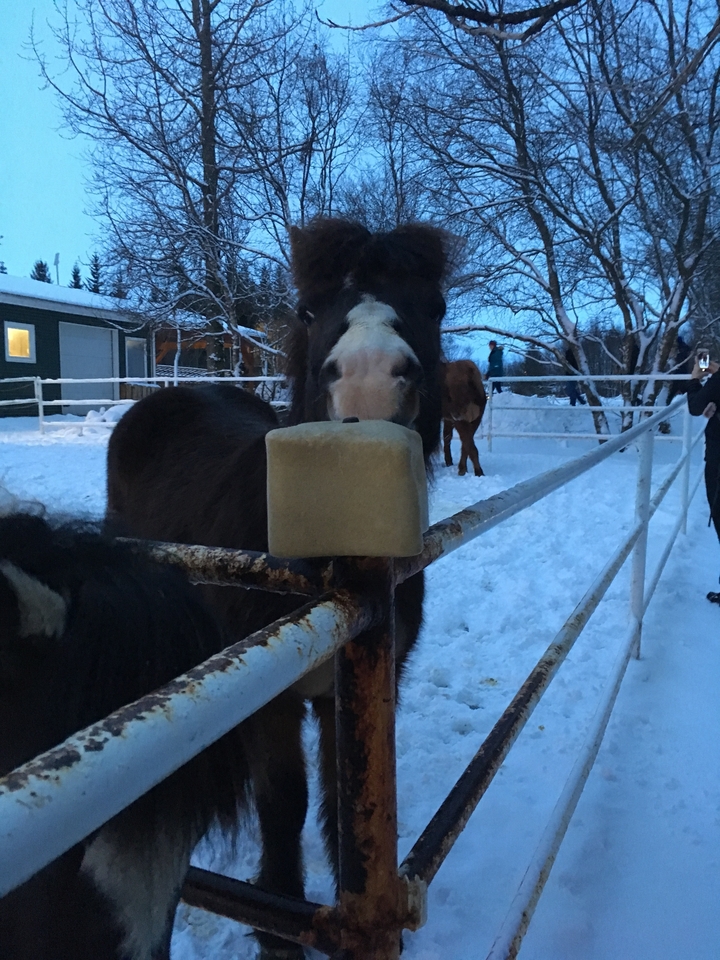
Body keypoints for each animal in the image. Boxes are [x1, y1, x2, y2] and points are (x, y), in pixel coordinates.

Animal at [105, 218, 452, 959]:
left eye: (435, 307)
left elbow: (348, 795)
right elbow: (283, 801)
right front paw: (279, 927)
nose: (370, 387)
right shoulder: (272, 699)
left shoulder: (358, 686)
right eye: (308, 311)